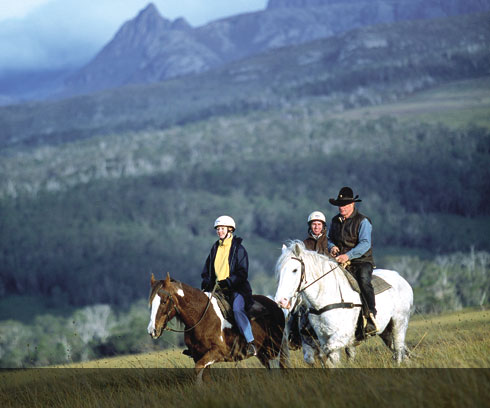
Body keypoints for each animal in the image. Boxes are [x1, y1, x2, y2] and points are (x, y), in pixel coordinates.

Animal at [147, 272, 290, 380]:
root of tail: (276, 305)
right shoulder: (198, 355)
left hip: (274, 349)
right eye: (151, 302)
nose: (152, 330)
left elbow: (198, 369)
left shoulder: (217, 352)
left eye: (164, 301)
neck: (202, 317)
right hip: (262, 353)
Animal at [276, 241, 414, 364]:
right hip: (386, 331)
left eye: (295, 270)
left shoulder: (343, 336)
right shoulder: (322, 337)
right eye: (280, 270)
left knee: (399, 350)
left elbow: (326, 354)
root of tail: (401, 279)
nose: (281, 301)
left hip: (399, 323)